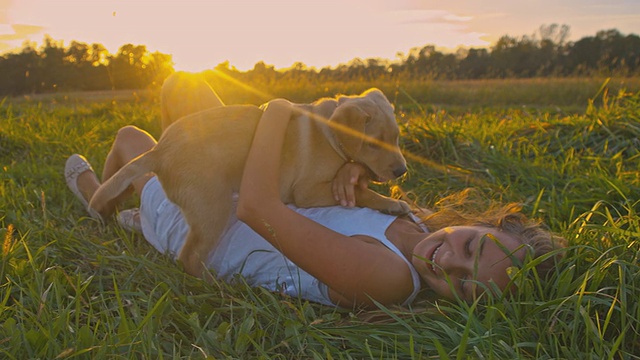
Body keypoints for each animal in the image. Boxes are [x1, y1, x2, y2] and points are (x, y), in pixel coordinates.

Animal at [89, 74, 410, 278]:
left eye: (397, 137)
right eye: (373, 143)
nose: (402, 171)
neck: (331, 134)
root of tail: (159, 150)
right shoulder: (306, 192)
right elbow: (359, 191)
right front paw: (392, 203)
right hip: (212, 208)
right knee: (188, 257)